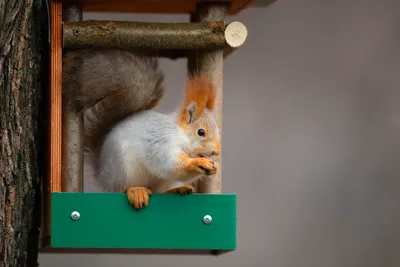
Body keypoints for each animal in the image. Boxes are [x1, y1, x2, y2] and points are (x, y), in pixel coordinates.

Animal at [61, 49, 222, 210]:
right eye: (201, 132)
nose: (216, 152)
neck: (179, 134)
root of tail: (102, 173)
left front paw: (215, 166)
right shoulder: (160, 143)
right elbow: (168, 164)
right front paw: (197, 163)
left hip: (160, 181)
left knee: (160, 190)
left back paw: (178, 189)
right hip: (121, 169)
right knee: (122, 188)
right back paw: (135, 190)